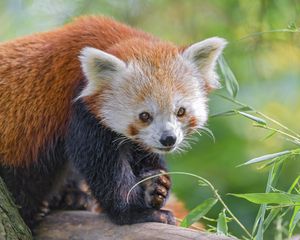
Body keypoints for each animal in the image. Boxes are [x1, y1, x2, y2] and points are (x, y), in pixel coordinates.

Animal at [0, 15, 226, 230]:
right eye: (145, 115)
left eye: (180, 111)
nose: (168, 139)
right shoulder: (82, 112)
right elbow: (104, 170)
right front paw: (137, 213)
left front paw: (156, 186)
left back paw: (72, 197)